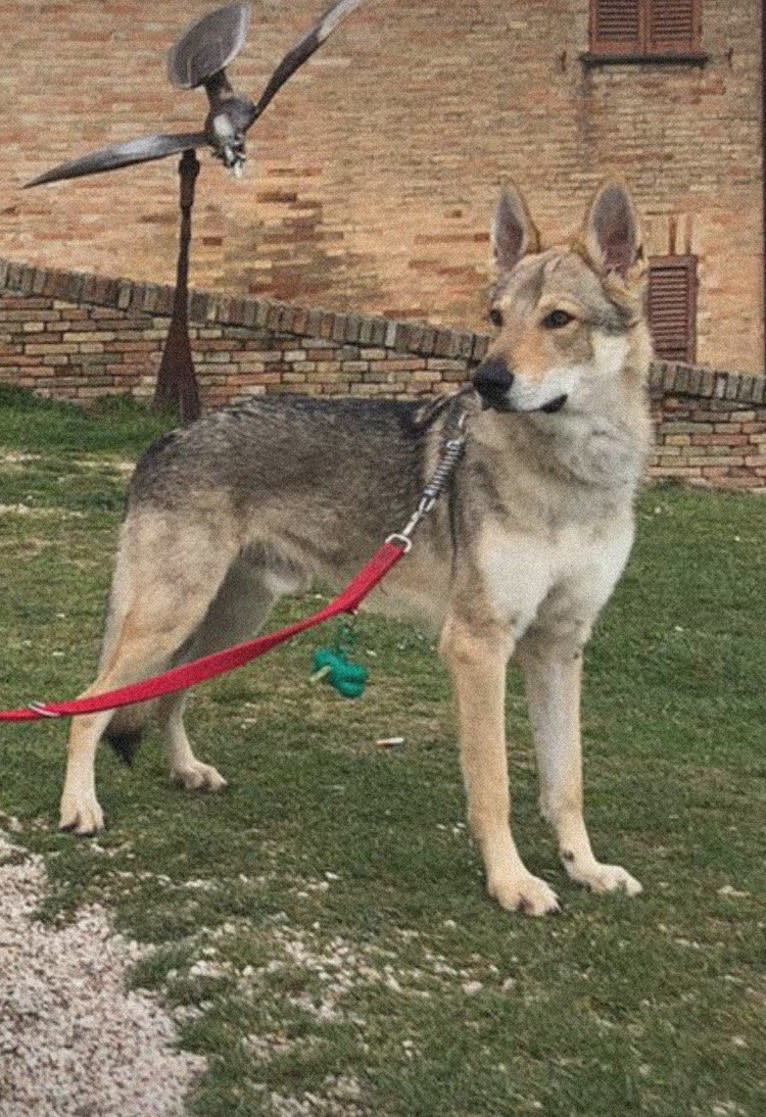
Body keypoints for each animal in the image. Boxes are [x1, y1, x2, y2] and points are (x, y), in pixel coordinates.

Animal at [60, 180, 652, 915]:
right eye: (496, 316)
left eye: (558, 319)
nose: (487, 381)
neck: (574, 478)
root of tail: (169, 436)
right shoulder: (477, 644)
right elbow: (495, 786)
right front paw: (512, 882)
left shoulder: (560, 645)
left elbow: (566, 783)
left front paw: (586, 868)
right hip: (171, 616)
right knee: (89, 705)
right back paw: (80, 807)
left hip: (230, 623)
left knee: (171, 694)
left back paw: (187, 771)